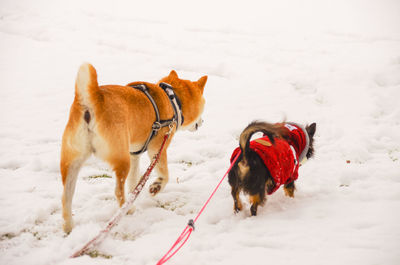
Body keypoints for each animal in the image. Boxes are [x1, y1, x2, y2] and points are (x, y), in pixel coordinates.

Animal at [61, 63, 209, 232]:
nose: (203, 122)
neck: (172, 99)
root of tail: (92, 100)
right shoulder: (157, 148)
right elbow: (164, 174)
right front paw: (156, 187)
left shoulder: (134, 154)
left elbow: (133, 181)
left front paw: (135, 193)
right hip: (121, 159)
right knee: (118, 191)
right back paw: (128, 210)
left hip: (72, 162)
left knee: (66, 197)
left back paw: (69, 227)